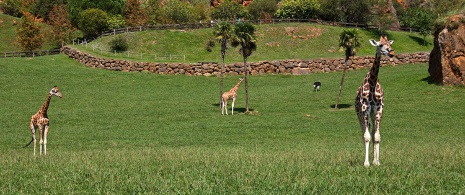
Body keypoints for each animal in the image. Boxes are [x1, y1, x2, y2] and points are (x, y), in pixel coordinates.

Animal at [354, 35, 394, 167]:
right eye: (380, 45)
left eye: (389, 44)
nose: (391, 52)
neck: (373, 81)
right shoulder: (365, 108)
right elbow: (366, 137)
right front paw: (366, 163)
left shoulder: (379, 108)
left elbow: (376, 136)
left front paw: (376, 161)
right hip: (360, 114)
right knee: (364, 133)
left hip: (372, 113)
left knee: (372, 132)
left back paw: (374, 159)